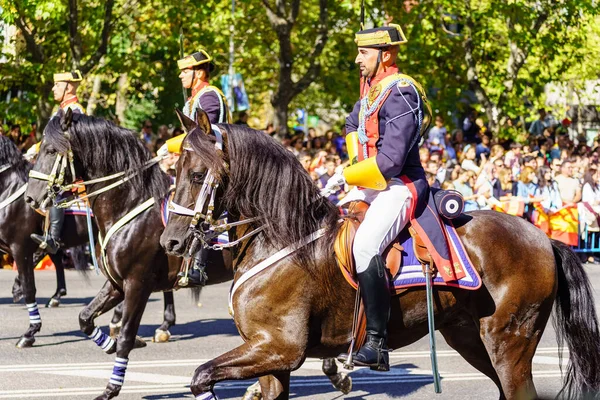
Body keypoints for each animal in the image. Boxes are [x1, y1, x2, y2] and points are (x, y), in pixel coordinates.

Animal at [159, 111, 600, 400]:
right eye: (172, 171)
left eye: (196, 175)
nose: (170, 242)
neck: (280, 241)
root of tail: (542, 238)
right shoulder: (272, 358)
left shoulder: (279, 347)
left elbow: (200, 375)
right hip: (468, 337)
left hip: (509, 344)